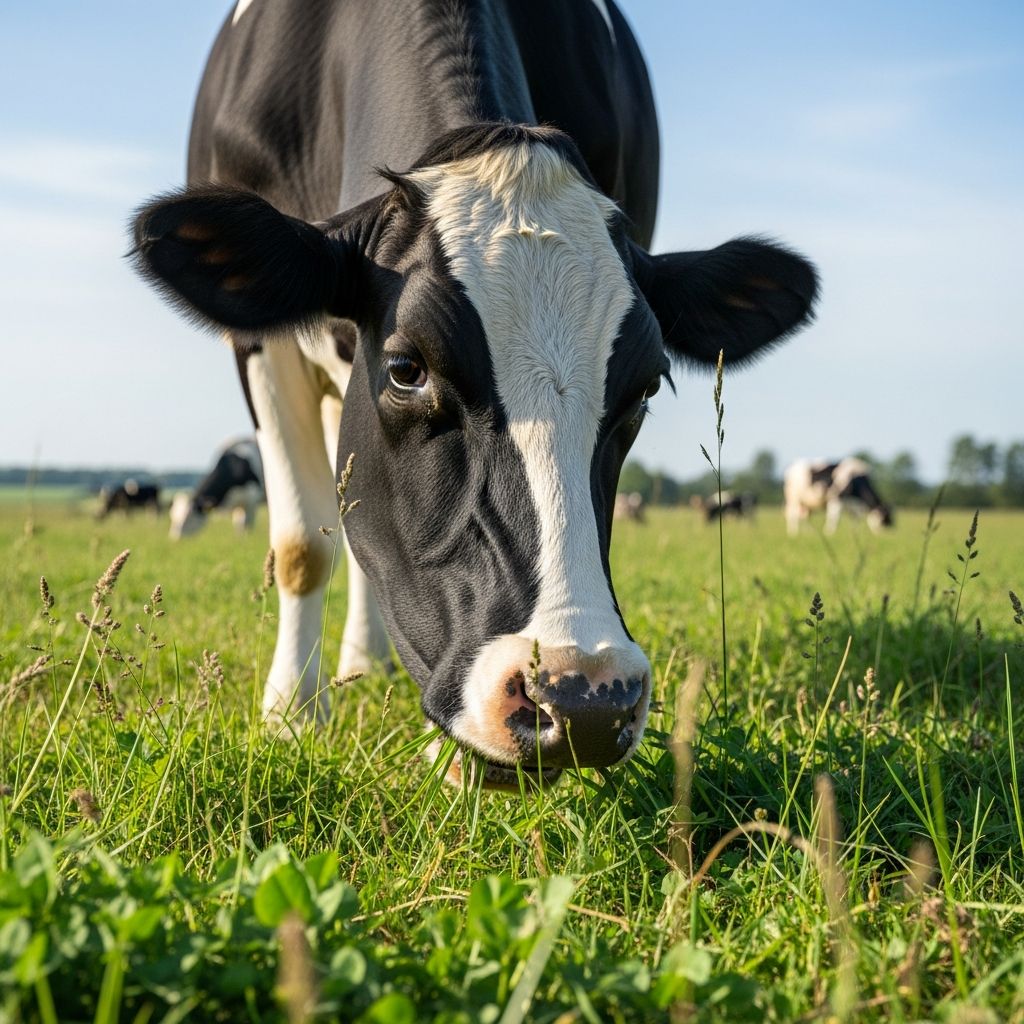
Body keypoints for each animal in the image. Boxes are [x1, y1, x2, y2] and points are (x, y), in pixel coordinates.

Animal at [130, 0, 818, 785]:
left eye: (645, 389)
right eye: (407, 368)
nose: (584, 700)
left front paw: (445, 755)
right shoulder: (260, 344)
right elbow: (304, 545)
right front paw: (292, 716)